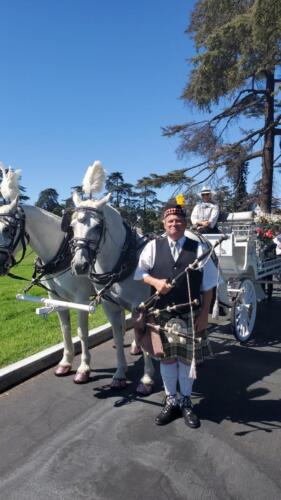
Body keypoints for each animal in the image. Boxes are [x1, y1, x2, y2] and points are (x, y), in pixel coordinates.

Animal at [68, 189, 154, 392]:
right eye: (72, 226)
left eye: (98, 226)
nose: (80, 265)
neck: (125, 261)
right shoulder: (110, 305)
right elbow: (117, 335)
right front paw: (120, 374)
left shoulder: (141, 305)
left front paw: (146, 378)